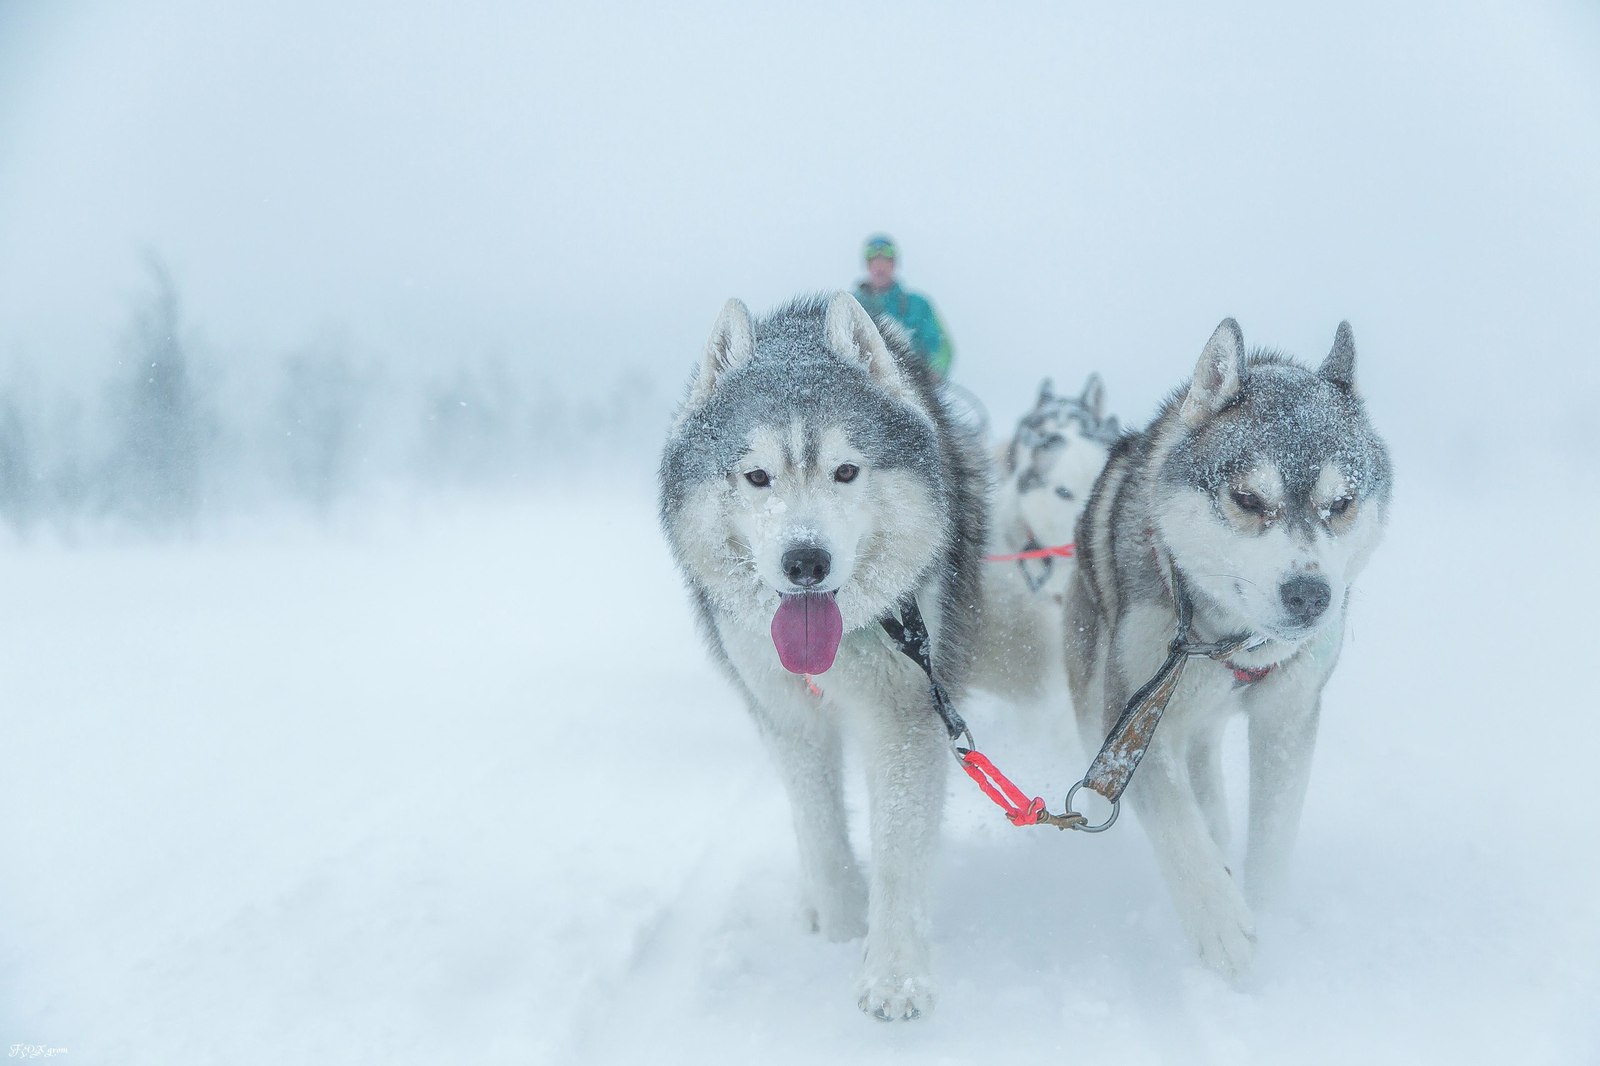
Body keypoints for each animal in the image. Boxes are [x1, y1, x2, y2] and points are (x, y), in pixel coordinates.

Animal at [652, 288, 979, 1011]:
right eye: (756, 476)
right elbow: (820, 827)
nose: (806, 560)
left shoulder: (906, 708)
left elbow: (898, 844)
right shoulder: (783, 715)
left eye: (846, 470)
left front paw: (893, 973)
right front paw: (841, 924)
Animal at [1068, 320, 1395, 973]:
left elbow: (1271, 837)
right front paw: (1220, 923)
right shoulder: (1132, 718)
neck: (1228, 646)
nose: (1310, 594)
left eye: (1341, 504)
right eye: (1248, 499)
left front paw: (1266, 912)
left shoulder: (1287, 718)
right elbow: (1175, 822)